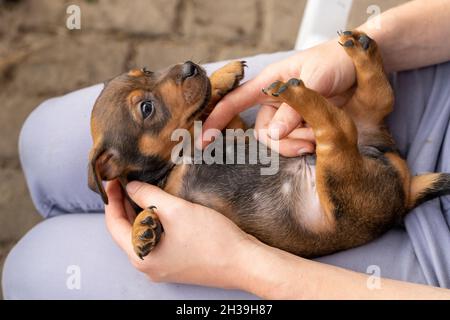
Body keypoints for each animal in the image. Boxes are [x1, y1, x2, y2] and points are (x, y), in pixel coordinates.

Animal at [88, 30, 450, 260]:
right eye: (146, 108)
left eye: (147, 69)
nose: (191, 66)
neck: (180, 155)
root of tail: (405, 190)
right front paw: (141, 228)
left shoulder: (230, 126)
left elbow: (210, 105)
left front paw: (222, 76)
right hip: (345, 181)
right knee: (348, 122)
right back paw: (304, 85)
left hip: (349, 156)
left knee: (359, 112)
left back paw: (341, 61)